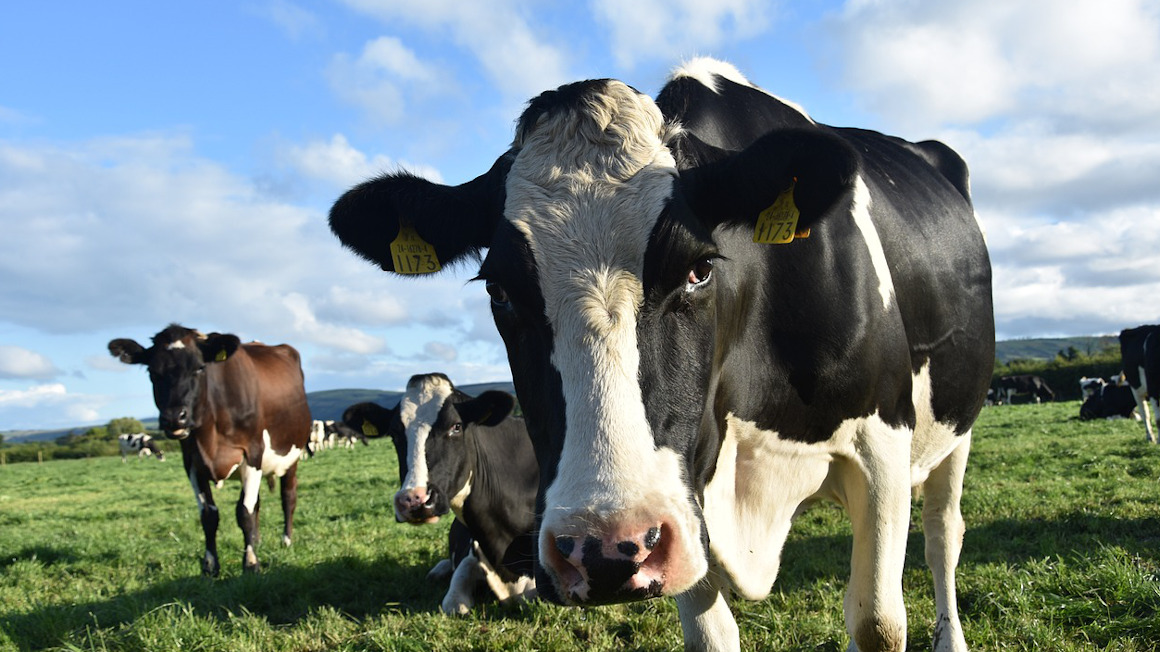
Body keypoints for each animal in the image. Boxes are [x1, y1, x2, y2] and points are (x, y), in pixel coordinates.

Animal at [109, 322, 313, 570]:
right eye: (152, 372)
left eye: (199, 368)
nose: (174, 418)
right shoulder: (192, 462)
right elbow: (209, 515)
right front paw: (210, 564)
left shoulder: (253, 454)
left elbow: (244, 512)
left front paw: (251, 562)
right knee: (257, 502)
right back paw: (257, 540)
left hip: (292, 455)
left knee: (287, 497)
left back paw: (286, 539)